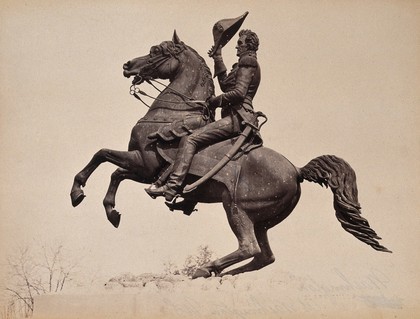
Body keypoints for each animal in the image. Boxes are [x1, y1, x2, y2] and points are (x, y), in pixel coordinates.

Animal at [69, 31, 390, 278]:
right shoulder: (142, 167)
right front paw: (110, 210)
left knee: (249, 247)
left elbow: (103, 157)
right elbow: (113, 169)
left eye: (156, 51)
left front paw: (80, 194)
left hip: (236, 208)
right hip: (261, 219)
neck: (172, 113)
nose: (128, 65)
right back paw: (216, 273)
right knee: (263, 256)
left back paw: (204, 268)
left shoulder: (146, 164)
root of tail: (297, 171)